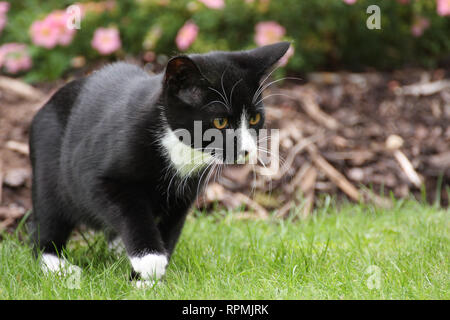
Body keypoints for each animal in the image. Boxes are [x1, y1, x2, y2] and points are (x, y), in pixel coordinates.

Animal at [28, 40, 290, 284]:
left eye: (254, 118)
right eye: (220, 122)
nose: (247, 150)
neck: (180, 149)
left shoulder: (183, 197)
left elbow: (170, 229)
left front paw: (147, 278)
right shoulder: (94, 175)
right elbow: (130, 210)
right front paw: (149, 262)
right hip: (49, 169)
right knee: (46, 224)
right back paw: (58, 265)